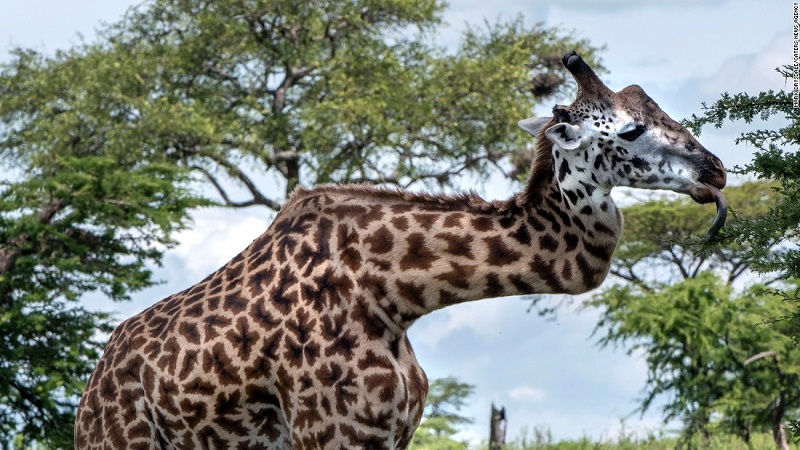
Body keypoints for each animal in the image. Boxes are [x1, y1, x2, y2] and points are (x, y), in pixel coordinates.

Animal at [78, 51, 728, 450]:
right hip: (120, 441)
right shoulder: (333, 433)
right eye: (630, 129)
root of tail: (93, 386)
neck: (396, 295)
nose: (715, 170)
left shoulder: (395, 432)